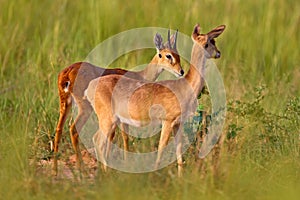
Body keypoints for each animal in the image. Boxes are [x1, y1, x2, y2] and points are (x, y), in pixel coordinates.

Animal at [84, 23, 225, 177]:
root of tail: (90, 87)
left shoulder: (178, 124)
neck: (185, 86)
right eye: (208, 42)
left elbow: (179, 149)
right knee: (98, 141)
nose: (218, 53)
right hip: (107, 120)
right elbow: (161, 147)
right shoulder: (167, 122)